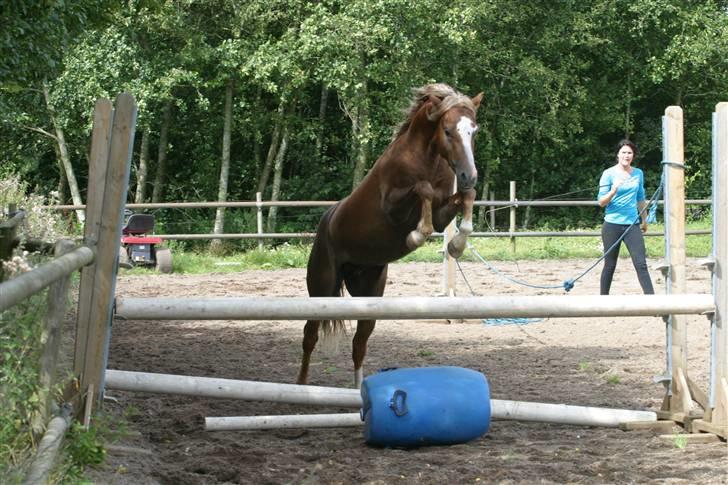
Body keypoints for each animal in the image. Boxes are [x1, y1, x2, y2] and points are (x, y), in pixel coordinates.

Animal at [296, 83, 484, 386]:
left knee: (359, 344)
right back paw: (301, 386)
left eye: (474, 131)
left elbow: (466, 197)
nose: (469, 175)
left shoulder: (444, 212)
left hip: (368, 291)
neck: (428, 159)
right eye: (447, 131)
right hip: (321, 289)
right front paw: (417, 235)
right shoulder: (393, 209)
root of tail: (327, 219)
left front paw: (456, 245)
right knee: (310, 336)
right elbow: (422, 189)